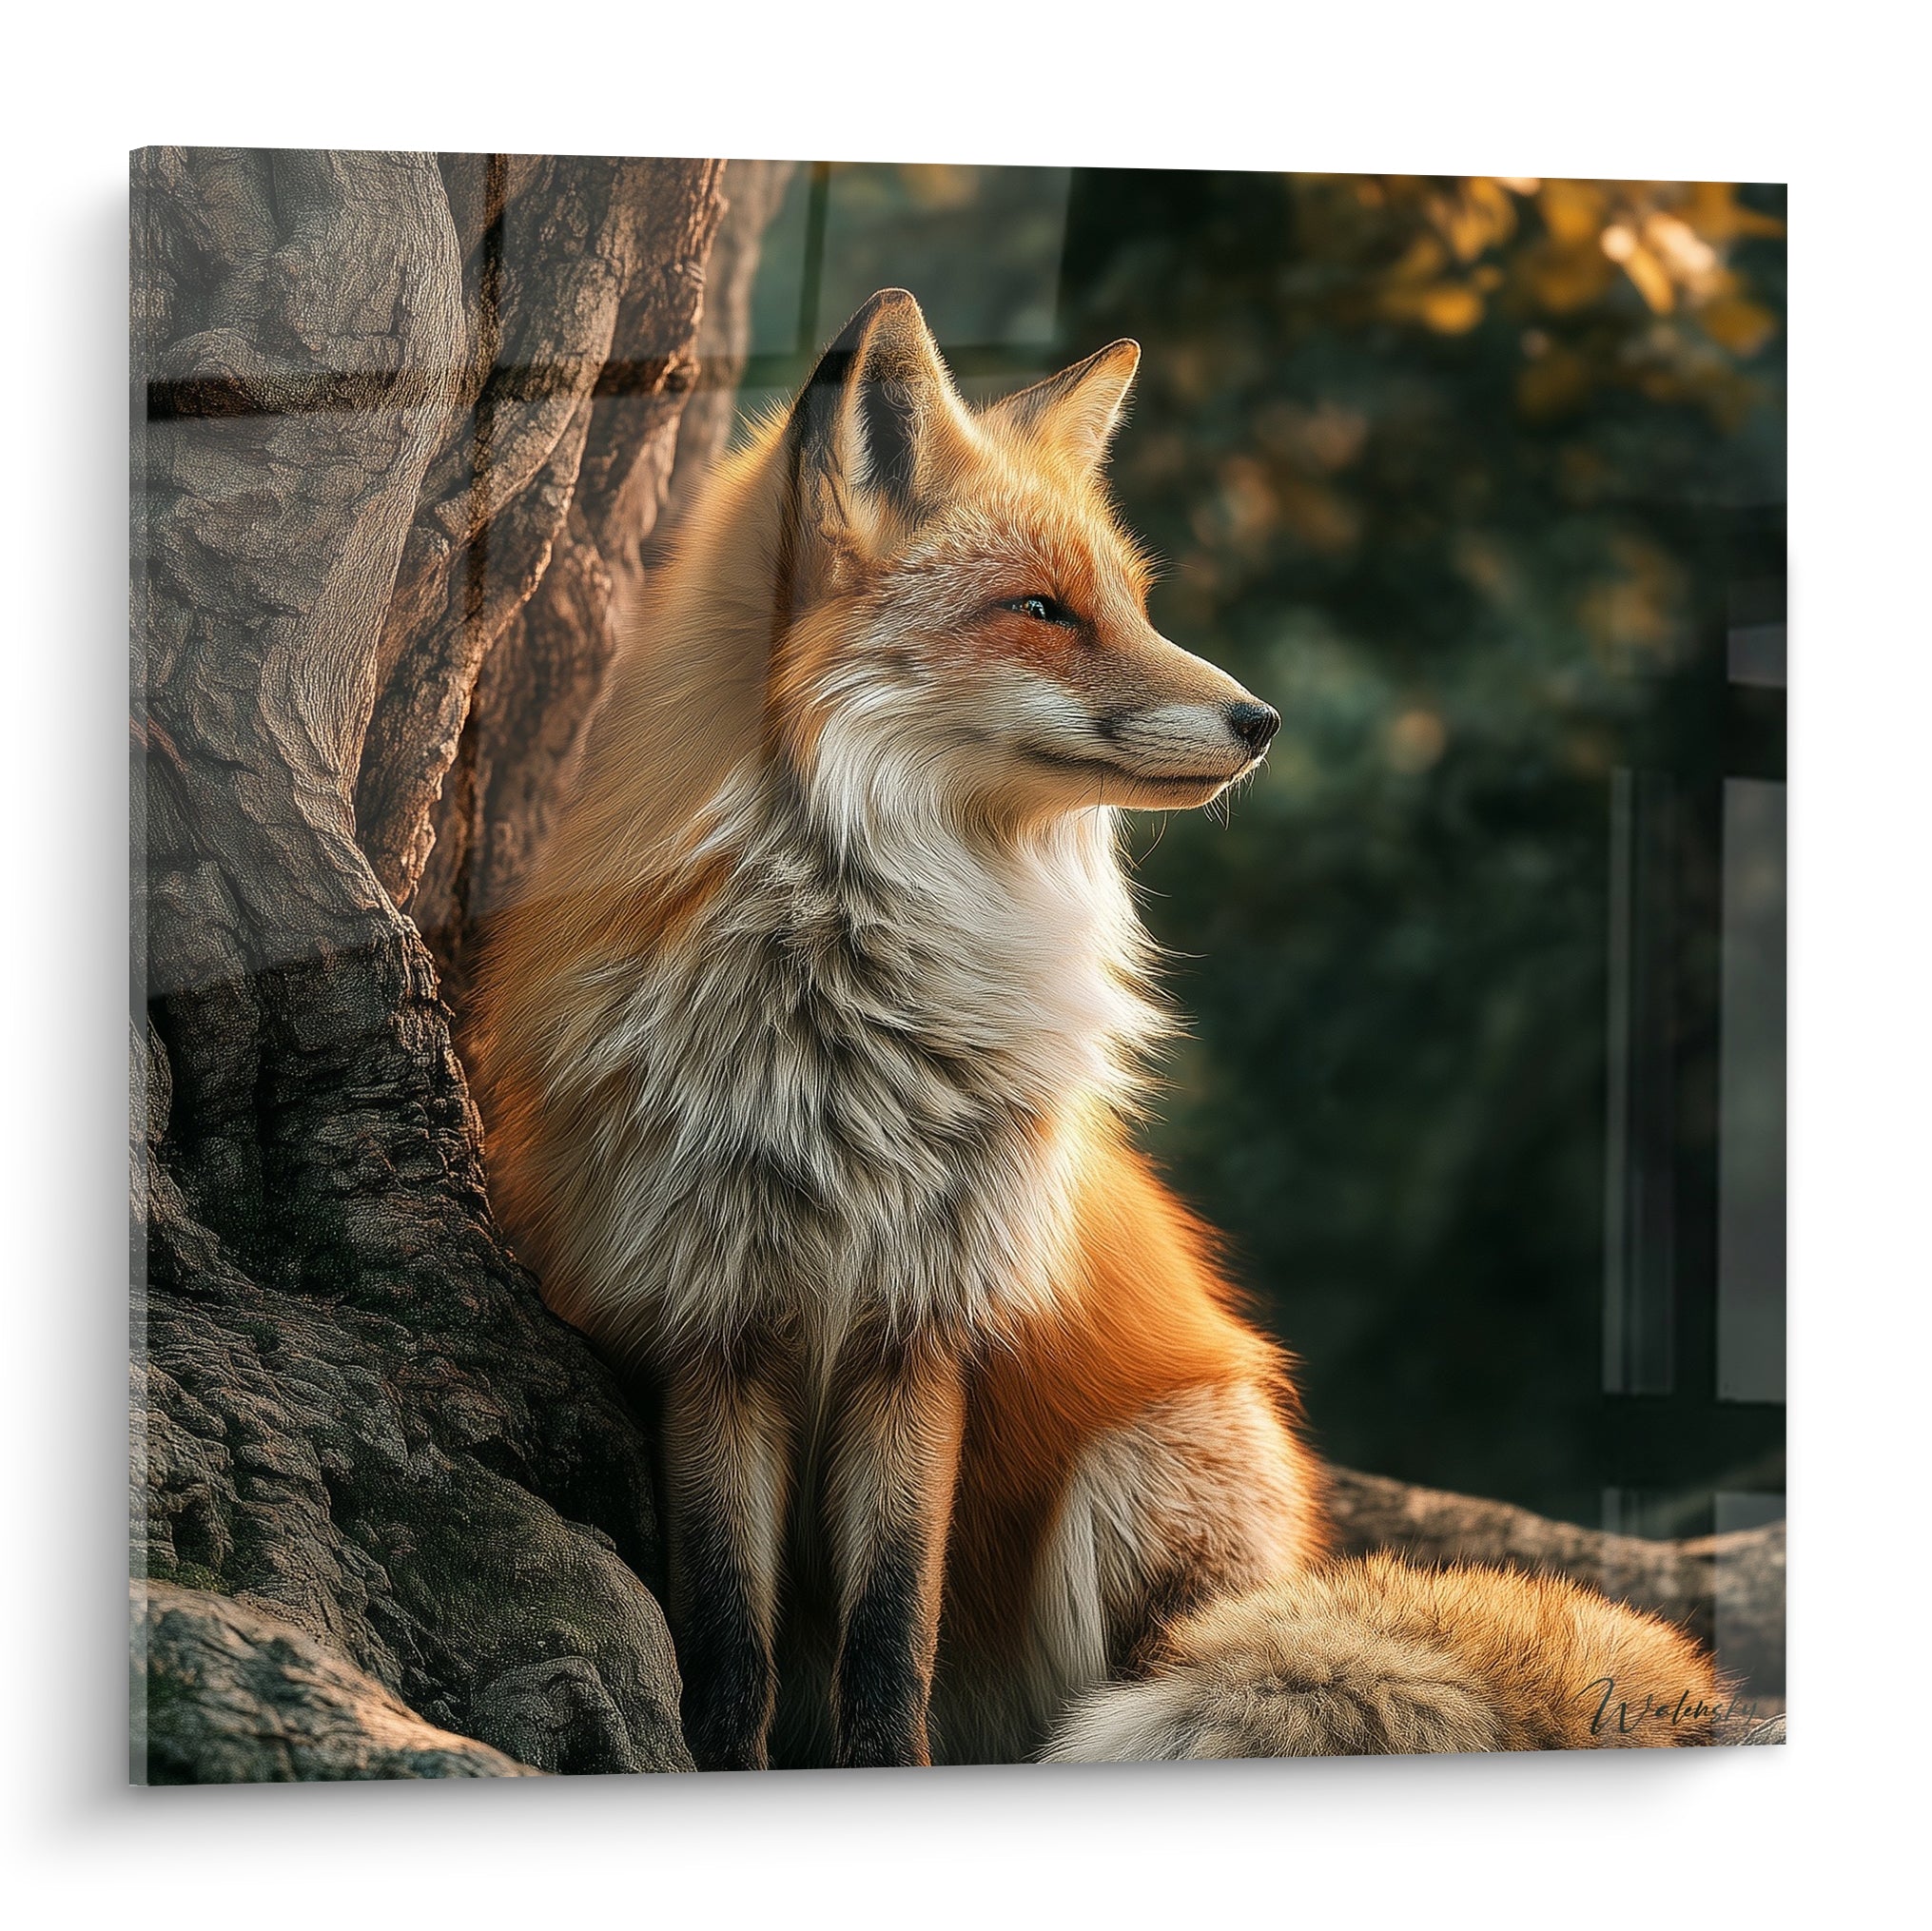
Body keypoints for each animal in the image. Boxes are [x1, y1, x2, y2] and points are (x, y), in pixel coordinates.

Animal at [471, 288, 1722, 1769]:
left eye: (1129, 602)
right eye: (1040, 610)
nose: (1262, 719)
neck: (846, 1011)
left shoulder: (925, 1315)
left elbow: (890, 1623)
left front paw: (881, 1766)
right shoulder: (710, 1314)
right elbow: (728, 1624)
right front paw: (722, 1758)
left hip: (1148, 1470)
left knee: (1161, 1665)